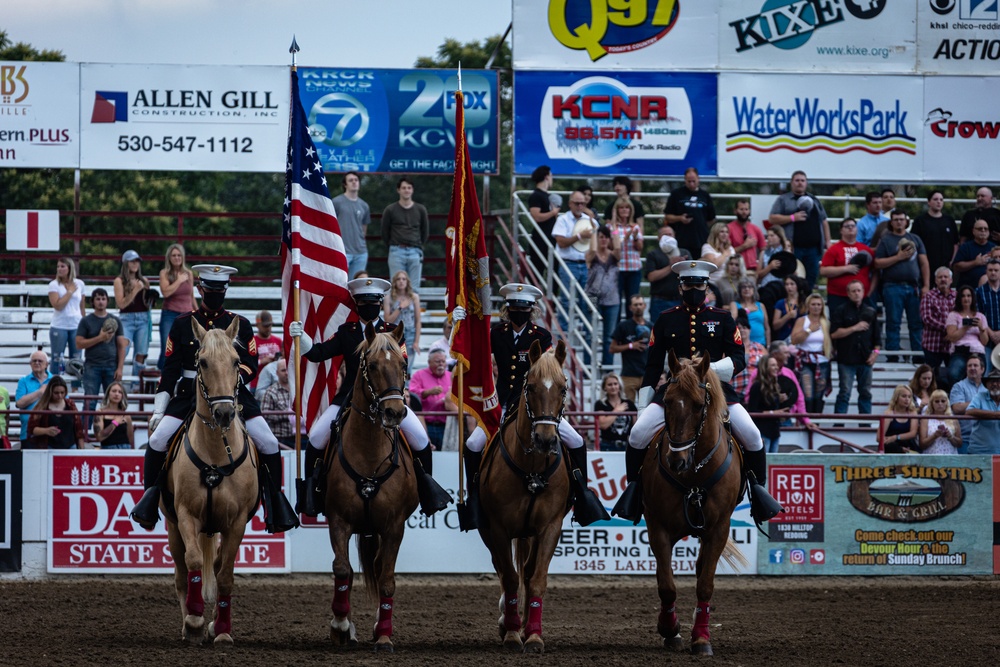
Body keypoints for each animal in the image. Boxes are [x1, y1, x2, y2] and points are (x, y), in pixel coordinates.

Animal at [164, 318, 260, 648]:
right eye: (202, 362)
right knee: (181, 573)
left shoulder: (237, 521)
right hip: (172, 526)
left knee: (217, 567)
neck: (217, 454)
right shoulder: (185, 514)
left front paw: (222, 629)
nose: (224, 413)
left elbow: (226, 575)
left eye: (235, 362)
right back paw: (188, 625)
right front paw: (194, 621)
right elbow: (194, 561)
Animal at [326, 324, 416, 652]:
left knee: (378, 569)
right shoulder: (338, 520)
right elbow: (342, 570)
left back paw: (379, 628)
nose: (394, 412)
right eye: (373, 366)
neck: (369, 455)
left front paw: (385, 635)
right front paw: (341, 626)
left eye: (403, 365)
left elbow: (387, 579)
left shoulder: (394, 526)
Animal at [476, 342, 572, 656]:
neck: (532, 471)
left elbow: (537, 578)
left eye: (563, 388)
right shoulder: (498, 528)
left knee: (528, 572)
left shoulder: (550, 526)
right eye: (530, 387)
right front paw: (511, 632)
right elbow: (509, 576)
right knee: (505, 570)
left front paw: (534, 636)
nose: (545, 439)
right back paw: (509, 621)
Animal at [644, 352, 748, 656]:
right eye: (667, 401)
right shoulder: (658, 528)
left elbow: (705, 585)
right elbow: (666, 584)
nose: (676, 461)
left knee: (702, 569)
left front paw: (701, 638)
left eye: (700, 405)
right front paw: (670, 630)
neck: (694, 474)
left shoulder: (718, 530)